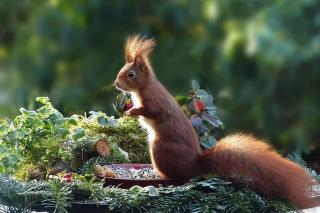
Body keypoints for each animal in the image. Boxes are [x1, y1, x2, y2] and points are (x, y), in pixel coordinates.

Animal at [115, 35, 320, 210]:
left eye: (131, 74)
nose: (116, 84)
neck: (144, 87)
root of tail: (196, 164)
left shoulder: (155, 101)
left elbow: (152, 111)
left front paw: (133, 111)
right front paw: (128, 112)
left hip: (159, 148)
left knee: (180, 176)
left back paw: (161, 175)